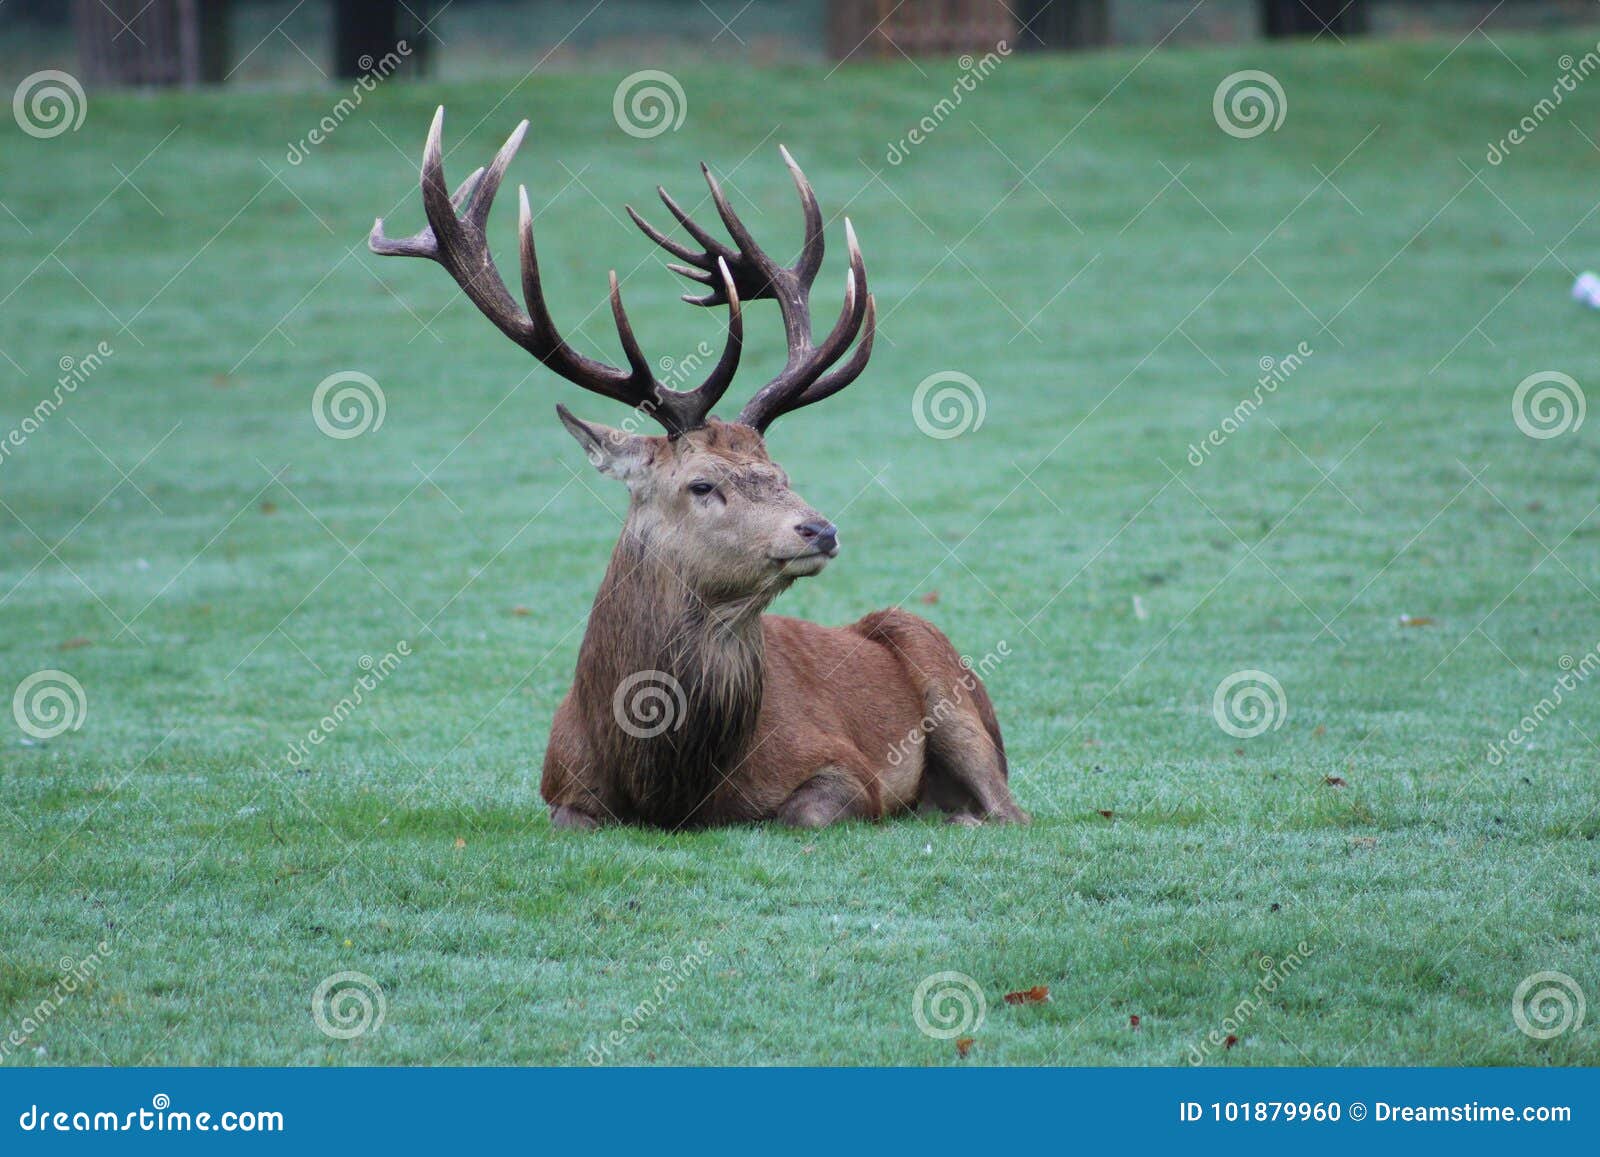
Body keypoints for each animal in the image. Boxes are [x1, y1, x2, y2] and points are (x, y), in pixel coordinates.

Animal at [370, 108, 1028, 831]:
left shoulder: (848, 768)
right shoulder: (560, 786)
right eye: (702, 484)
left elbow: (805, 812)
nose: (820, 530)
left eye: (782, 472)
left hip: (940, 663)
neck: (670, 786)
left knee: (1009, 808)